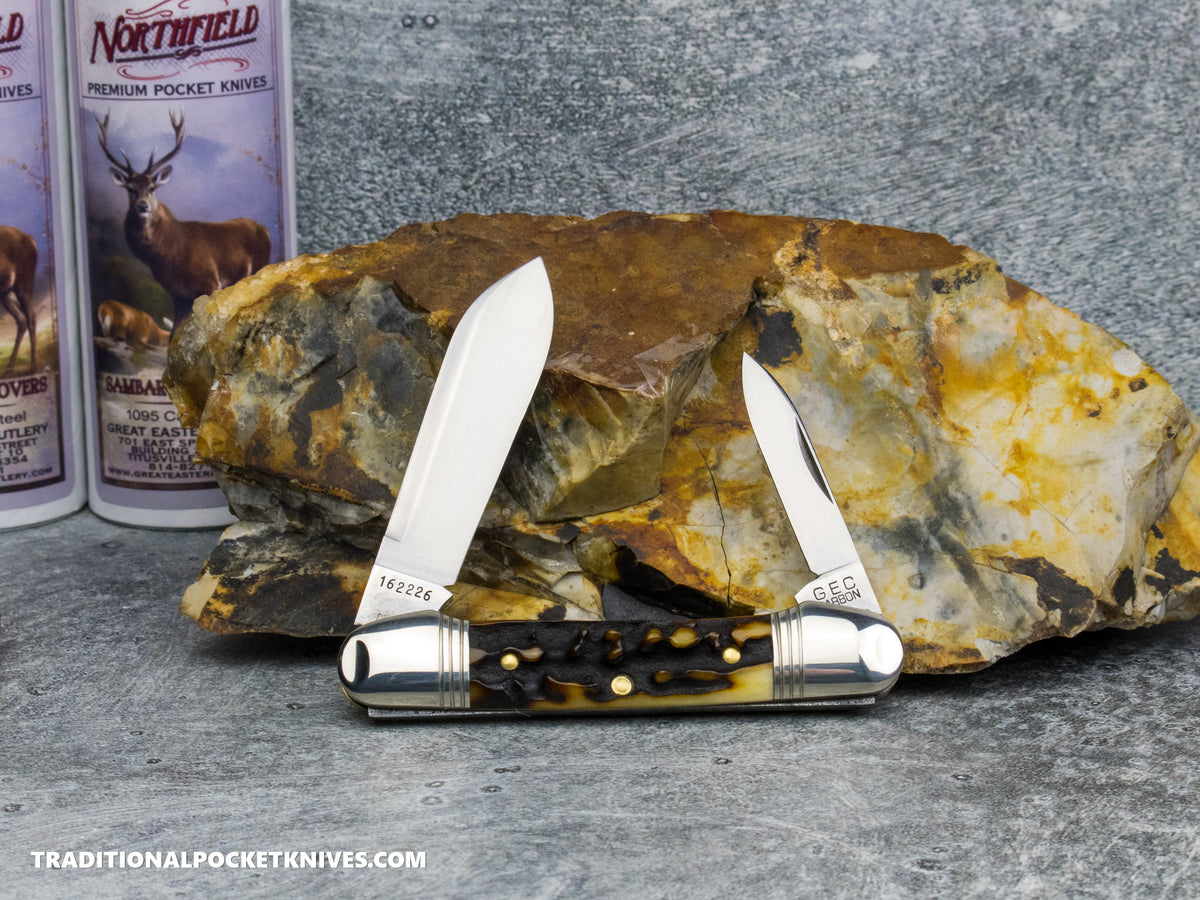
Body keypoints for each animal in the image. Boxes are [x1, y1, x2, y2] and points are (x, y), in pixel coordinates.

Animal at [0, 226, 37, 374]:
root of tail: (31, 239)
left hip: (23, 287)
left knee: (30, 319)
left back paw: (32, 367)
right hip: (7, 295)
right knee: (23, 319)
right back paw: (10, 367)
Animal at [97, 111, 271, 332]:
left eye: (152, 187)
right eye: (130, 188)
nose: (142, 206)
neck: (170, 253)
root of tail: (264, 229)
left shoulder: (209, 282)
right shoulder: (177, 295)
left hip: (258, 266)